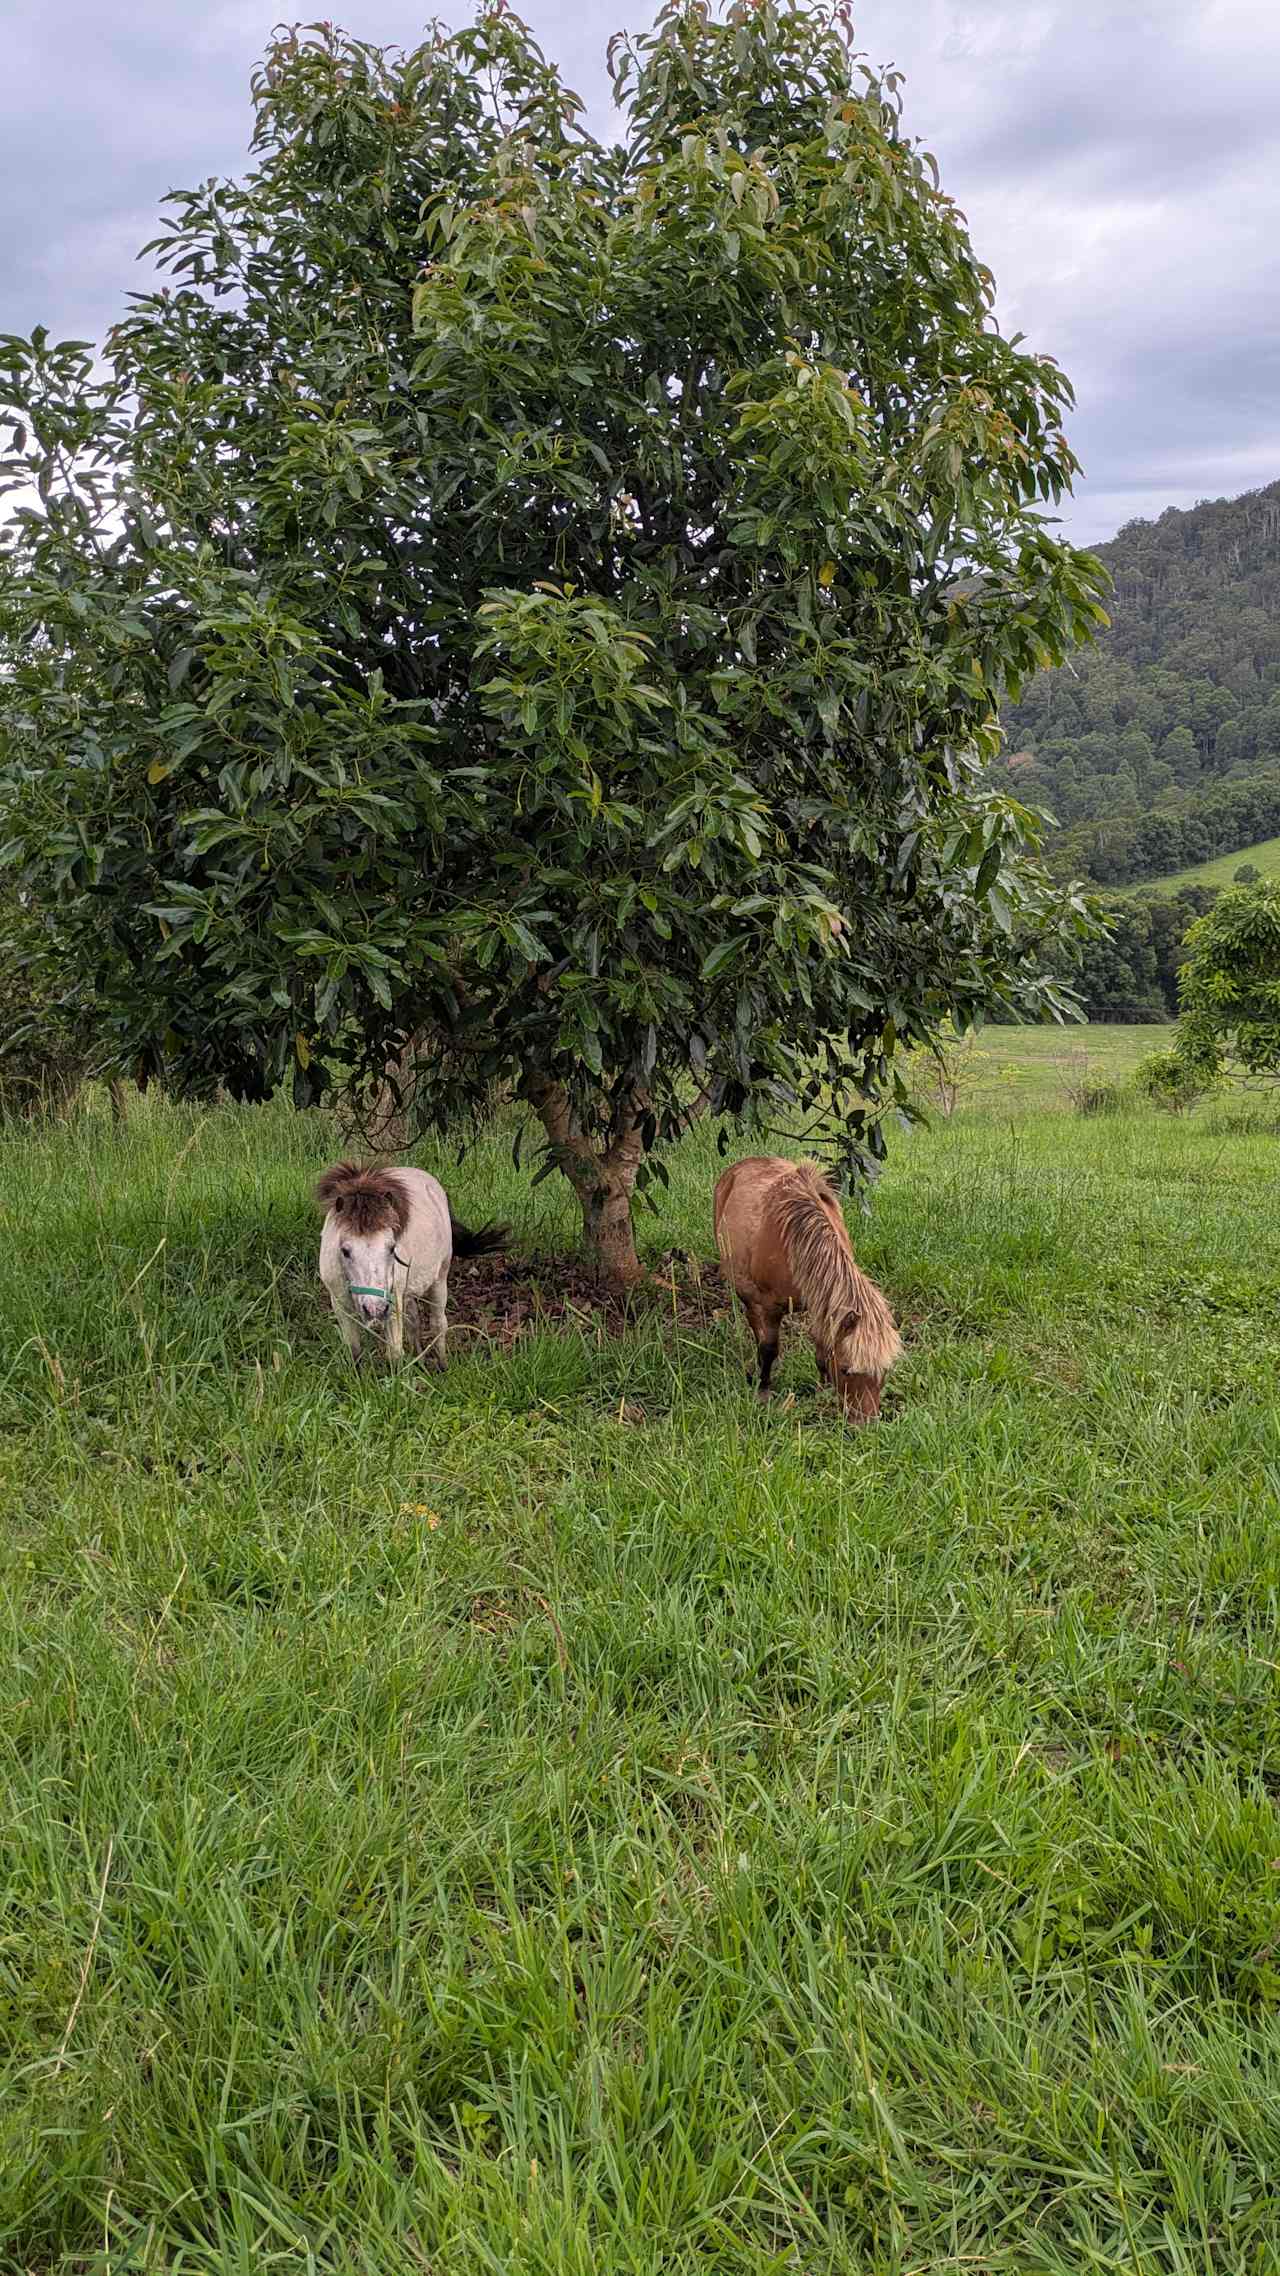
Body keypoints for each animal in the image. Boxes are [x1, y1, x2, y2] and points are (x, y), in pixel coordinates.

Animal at [314, 1165, 503, 1356]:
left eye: (392, 1248)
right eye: (345, 1251)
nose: (376, 1309)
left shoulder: (393, 1305)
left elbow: (395, 1354)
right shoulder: (341, 1305)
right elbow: (354, 1351)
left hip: (439, 1281)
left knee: (438, 1325)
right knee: (414, 1322)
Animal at [710, 1156, 901, 1420]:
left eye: (884, 1370)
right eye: (846, 1370)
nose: (866, 1422)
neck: (796, 1241)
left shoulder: (822, 1305)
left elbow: (821, 1350)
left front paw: (823, 1389)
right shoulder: (770, 1306)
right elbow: (769, 1349)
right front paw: (763, 1391)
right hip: (746, 1291)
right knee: (754, 1323)